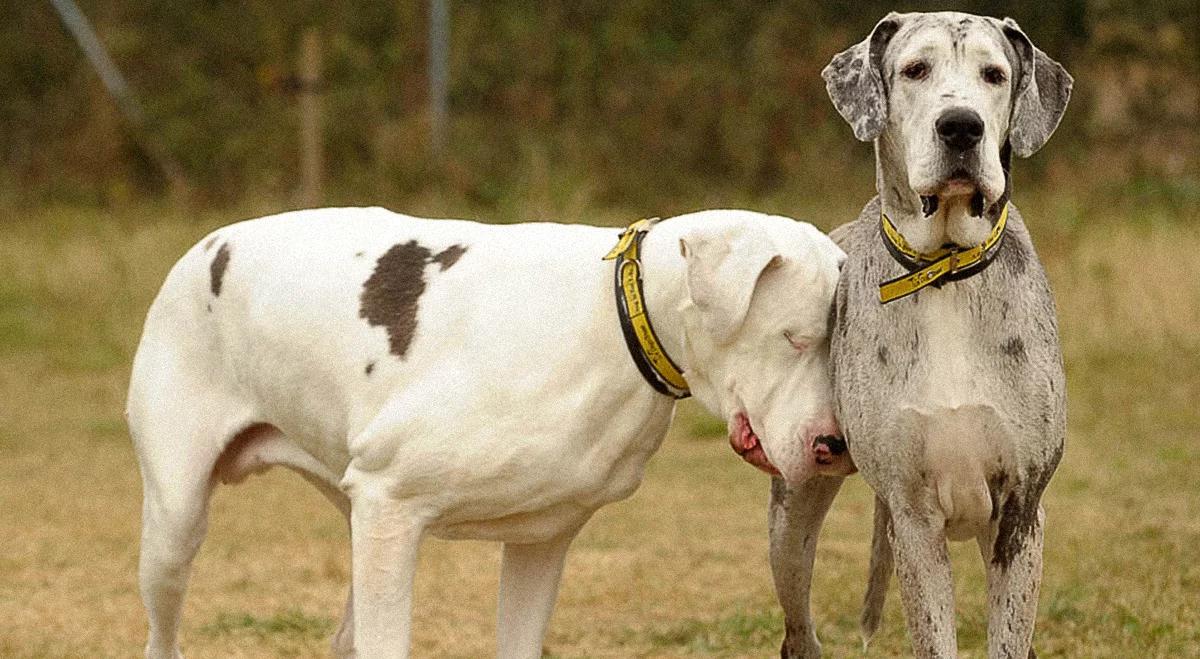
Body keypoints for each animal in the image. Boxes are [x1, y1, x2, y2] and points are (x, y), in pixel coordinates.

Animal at [126, 206, 849, 657]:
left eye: (837, 343)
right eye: (795, 337)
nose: (835, 447)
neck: (613, 319)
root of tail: (204, 246)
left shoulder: (540, 544)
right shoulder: (391, 511)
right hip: (177, 527)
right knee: (162, 635)